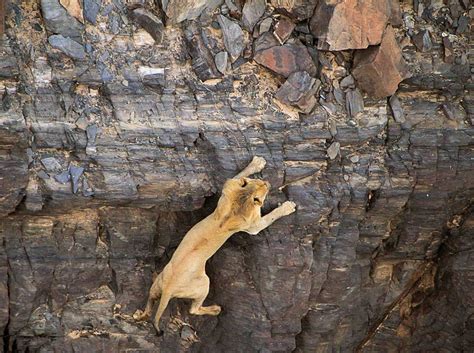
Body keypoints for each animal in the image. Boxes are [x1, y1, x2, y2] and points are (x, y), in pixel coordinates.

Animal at [134, 155, 296, 332]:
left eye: (259, 182)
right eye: (263, 187)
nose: (267, 183)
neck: (243, 199)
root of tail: (168, 289)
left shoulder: (228, 188)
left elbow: (240, 174)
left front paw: (256, 163)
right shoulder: (253, 226)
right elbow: (270, 217)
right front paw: (288, 207)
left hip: (157, 284)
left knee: (150, 304)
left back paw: (139, 314)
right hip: (203, 284)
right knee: (193, 309)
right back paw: (216, 309)